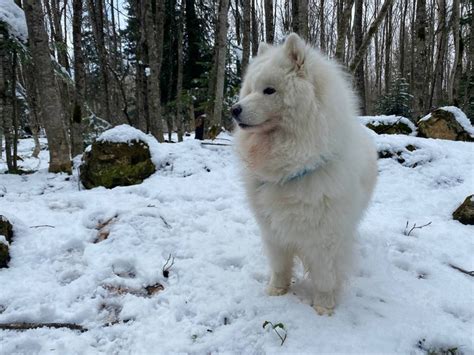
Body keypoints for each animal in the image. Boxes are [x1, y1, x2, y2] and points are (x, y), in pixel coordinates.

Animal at [232, 33, 378, 316]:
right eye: (250, 90)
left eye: (269, 90)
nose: (234, 109)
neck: (291, 168)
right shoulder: (273, 230)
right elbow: (279, 266)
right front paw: (276, 291)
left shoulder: (325, 238)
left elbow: (325, 276)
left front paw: (323, 307)